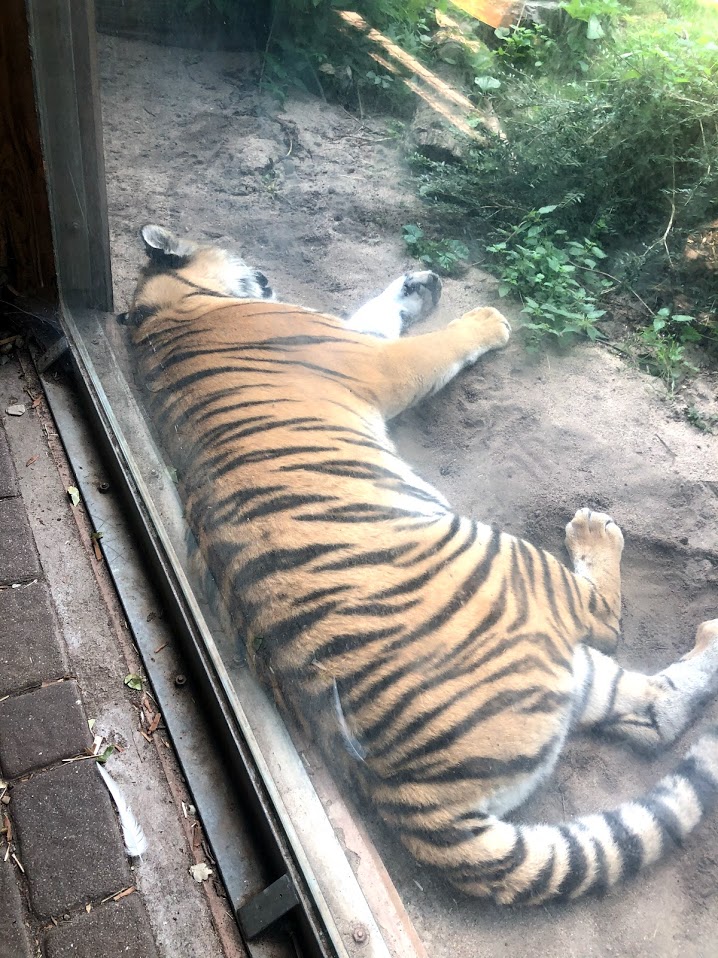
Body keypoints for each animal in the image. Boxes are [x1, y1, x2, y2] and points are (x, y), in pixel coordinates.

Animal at [119, 223, 718, 906]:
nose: (262, 272)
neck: (160, 310)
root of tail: (410, 799)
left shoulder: (357, 337)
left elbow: (377, 312)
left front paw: (417, 286)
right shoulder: (373, 360)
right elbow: (432, 345)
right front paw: (483, 320)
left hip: (562, 669)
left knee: (657, 713)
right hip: (507, 560)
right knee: (608, 622)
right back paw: (596, 530)